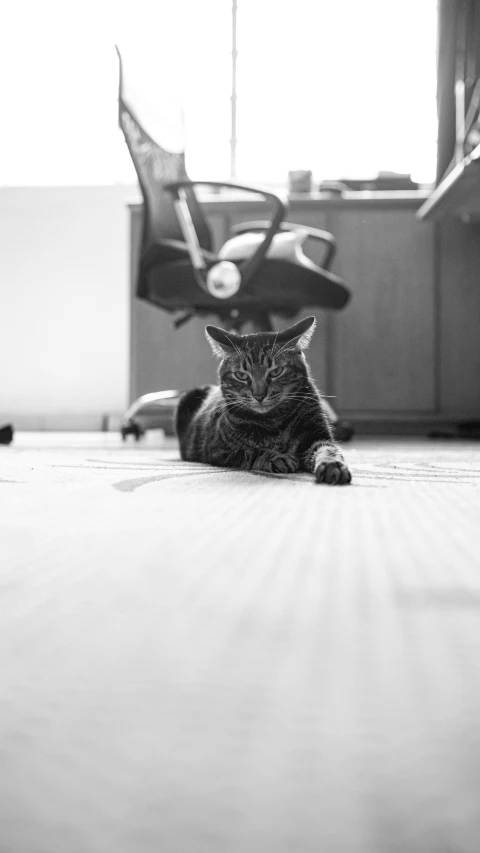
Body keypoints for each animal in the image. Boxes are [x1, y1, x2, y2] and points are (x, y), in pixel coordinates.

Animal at [175, 314, 352, 486]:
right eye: (241, 375)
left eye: (276, 372)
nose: (259, 395)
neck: (273, 421)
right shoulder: (219, 449)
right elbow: (250, 451)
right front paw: (276, 457)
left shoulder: (316, 435)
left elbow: (328, 449)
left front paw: (333, 465)